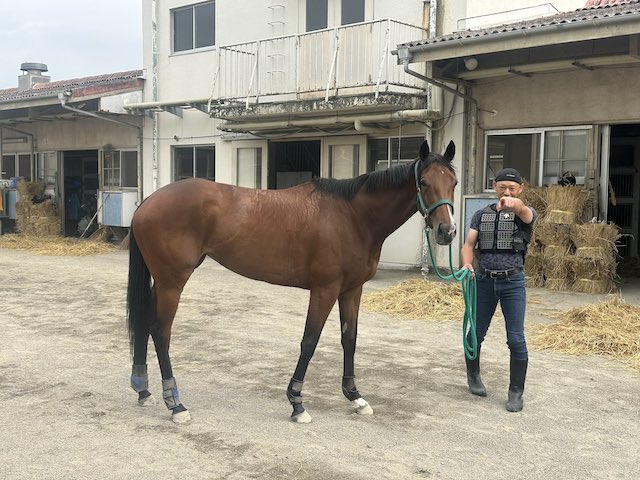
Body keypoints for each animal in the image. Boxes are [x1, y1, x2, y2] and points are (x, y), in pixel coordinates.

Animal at [127, 140, 458, 424]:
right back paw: (175, 404)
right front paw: (297, 402)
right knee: (161, 331)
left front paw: (355, 397)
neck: (352, 216)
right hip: (172, 282)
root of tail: (147, 203)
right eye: (424, 182)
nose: (447, 231)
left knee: (145, 323)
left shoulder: (352, 290)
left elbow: (349, 339)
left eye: (453, 183)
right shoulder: (325, 289)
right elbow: (310, 340)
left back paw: (144, 390)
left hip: (163, 282)